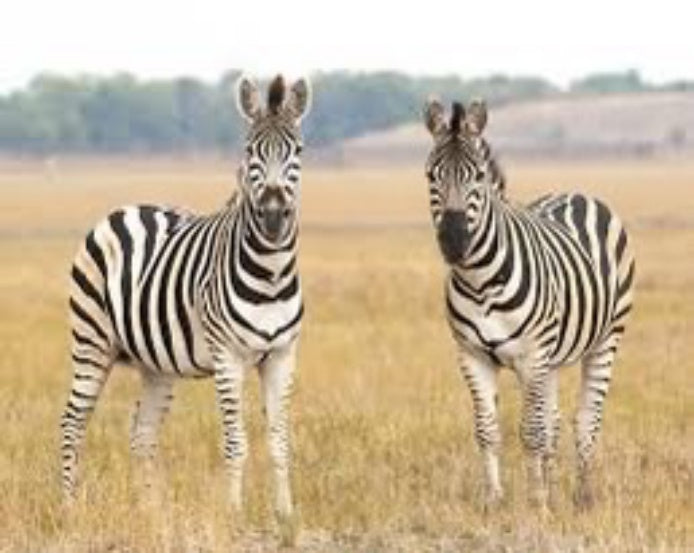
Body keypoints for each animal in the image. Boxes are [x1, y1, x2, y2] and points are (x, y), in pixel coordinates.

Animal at [61, 75, 310, 541]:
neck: (270, 274)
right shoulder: (228, 355)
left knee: (142, 434)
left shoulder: (283, 354)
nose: (272, 216)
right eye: (249, 150)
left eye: (298, 151)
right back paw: (67, 508)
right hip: (91, 342)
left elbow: (280, 438)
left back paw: (151, 512)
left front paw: (286, 515)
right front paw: (234, 514)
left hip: (155, 364)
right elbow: (236, 440)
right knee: (71, 421)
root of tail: (124, 208)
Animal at [422, 97, 635, 510]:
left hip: (606, 339)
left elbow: (532, 431)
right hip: (551, 358)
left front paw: (537, 503)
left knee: (586, 419)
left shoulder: (531, 355)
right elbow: (488, 429)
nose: (454, 242)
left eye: (477, 177)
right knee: (554, 420)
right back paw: (553, 486)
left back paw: (583, 497)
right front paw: (495, 500)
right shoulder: (471, 355)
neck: (480, 283)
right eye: (430, 176)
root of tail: (577, 193)